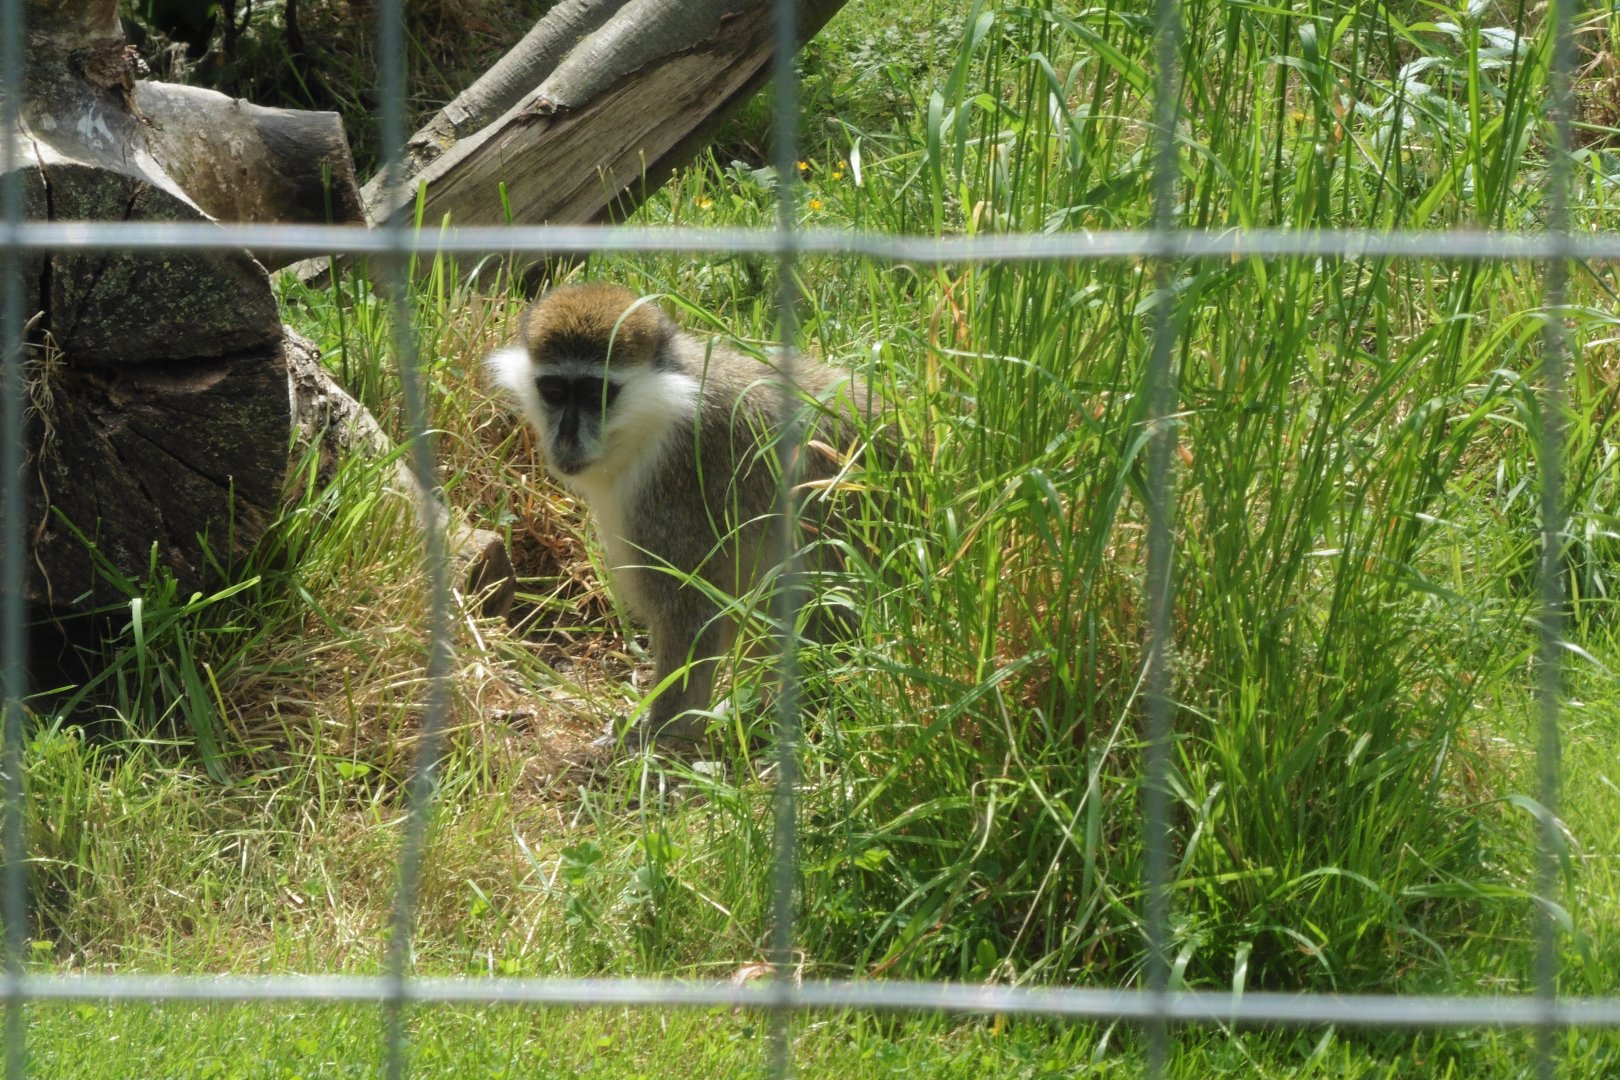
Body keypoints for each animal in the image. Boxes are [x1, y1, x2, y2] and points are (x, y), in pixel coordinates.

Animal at [486, 282, 897, 754]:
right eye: (554, 391)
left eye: (594, 395)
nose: (566, 440)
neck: (662, 409)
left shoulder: (673, 489)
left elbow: (692, 612)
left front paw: (656, 741)